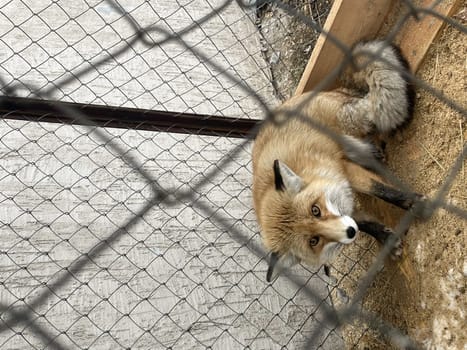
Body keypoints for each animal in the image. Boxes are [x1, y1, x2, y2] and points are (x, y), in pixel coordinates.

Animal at [252, 40, 424, 282]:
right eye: (314, 241)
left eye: (315, 210)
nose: (350, 232)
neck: (309, 172)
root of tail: (333, 90)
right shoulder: (346, 208)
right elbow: (366, 223)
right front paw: (387, 240)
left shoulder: (344, 170)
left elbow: (382, 190)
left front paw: (414, 203)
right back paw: (375, 153)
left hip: (352, 122)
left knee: (373, 108)